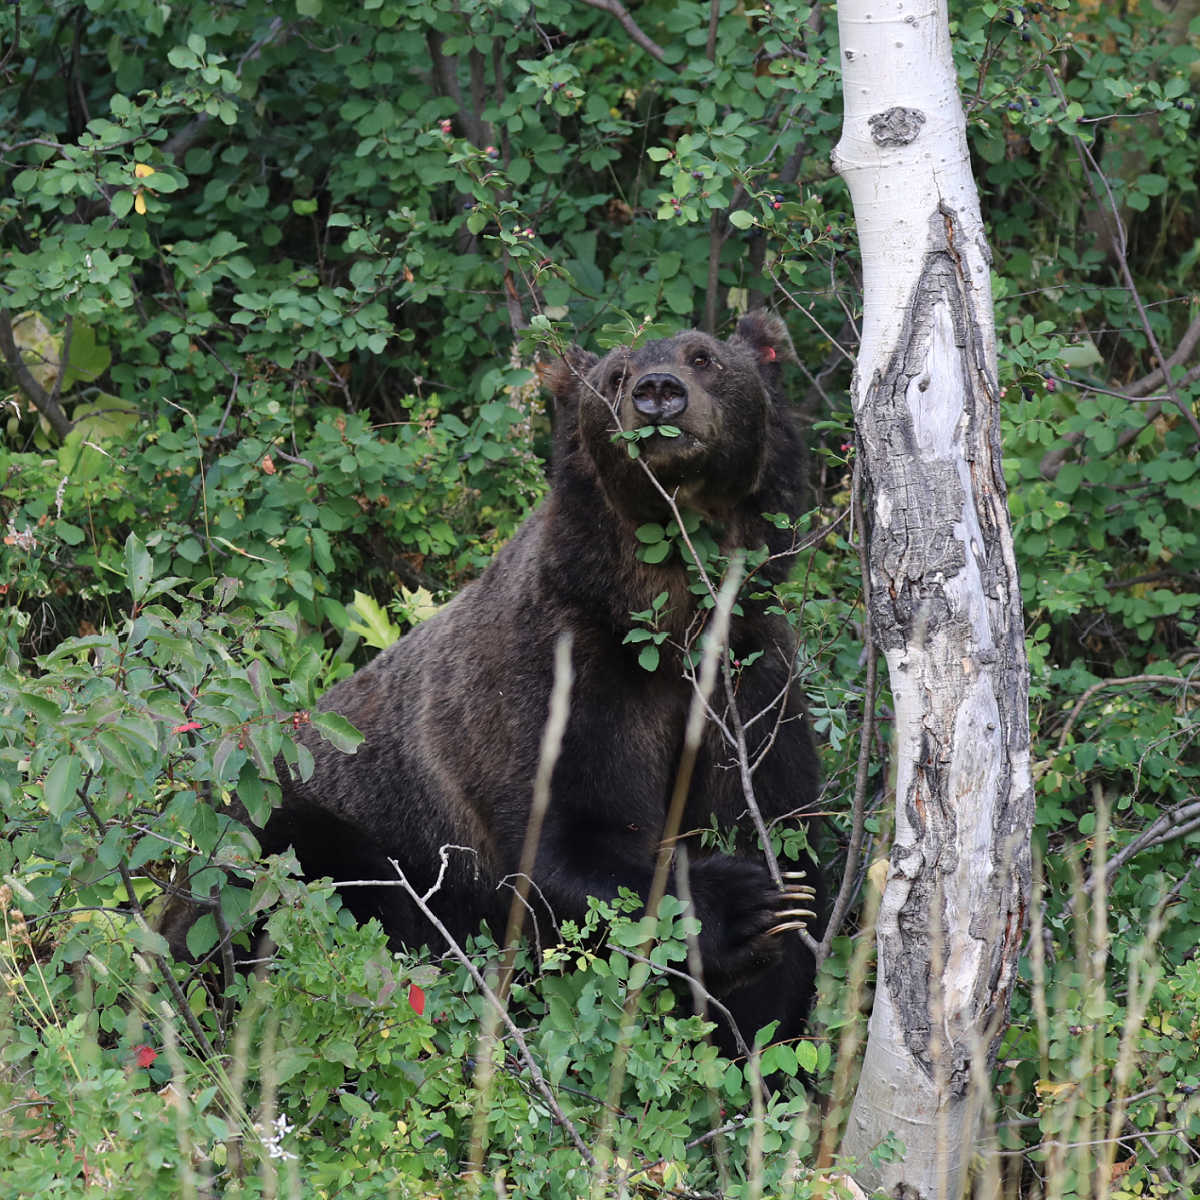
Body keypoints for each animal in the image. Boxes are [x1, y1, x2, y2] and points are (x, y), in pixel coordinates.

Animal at [263, 311, 824, 1056]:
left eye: (704, 356)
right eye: (613, 374)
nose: (658, 392)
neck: (668, 612)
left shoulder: (749, 676)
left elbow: (781, 828)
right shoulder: (559, 677)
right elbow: (567, 839)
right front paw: (743, 905)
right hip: (317, 821)